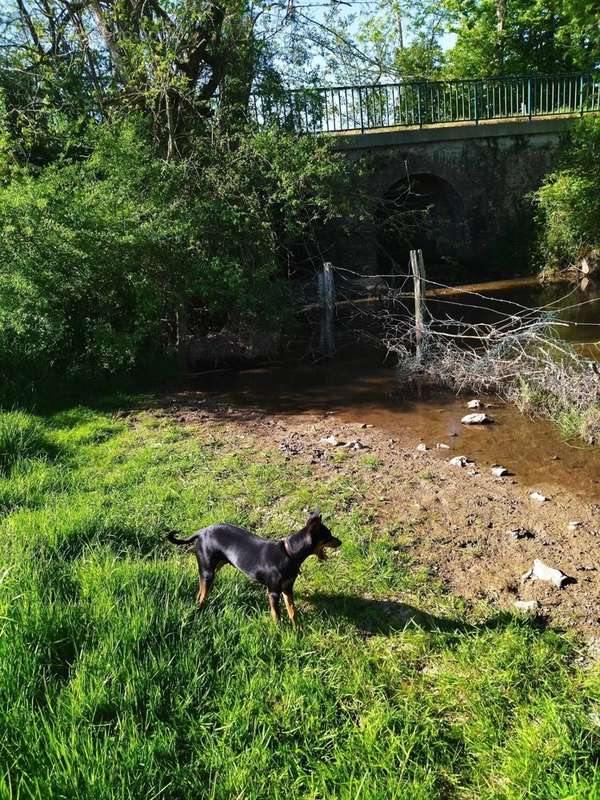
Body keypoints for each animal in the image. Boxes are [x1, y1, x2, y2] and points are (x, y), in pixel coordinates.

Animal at [166, 512, 340, 624]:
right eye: (328, 536)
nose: (341, 542)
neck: (289, 552)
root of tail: (201, 532)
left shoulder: (287, 589)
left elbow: (293, 612)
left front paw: (298, 631)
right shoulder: (273, 593)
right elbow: (276, 616)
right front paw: (279, 633)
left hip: (217, 565)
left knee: (199, 593)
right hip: (208, 572)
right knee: (202, 595)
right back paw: (199, 613)